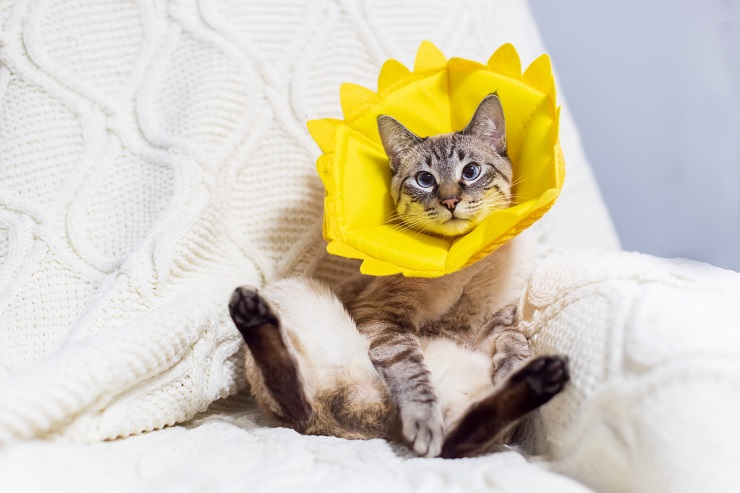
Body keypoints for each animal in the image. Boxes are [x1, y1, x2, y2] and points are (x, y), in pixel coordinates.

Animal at [228, 93, 568, 458]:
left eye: (471, 172)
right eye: (425, 180)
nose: (451, 201)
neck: (465, 262)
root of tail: (370, 420)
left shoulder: (497, 323)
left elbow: (514, 343)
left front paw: (513, 367)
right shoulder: (385, 316)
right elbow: (412, 373)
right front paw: (424, 420)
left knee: (461, 438)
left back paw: (542, 377)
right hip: (292, 291)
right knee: (296, 401)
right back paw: (249, 311)